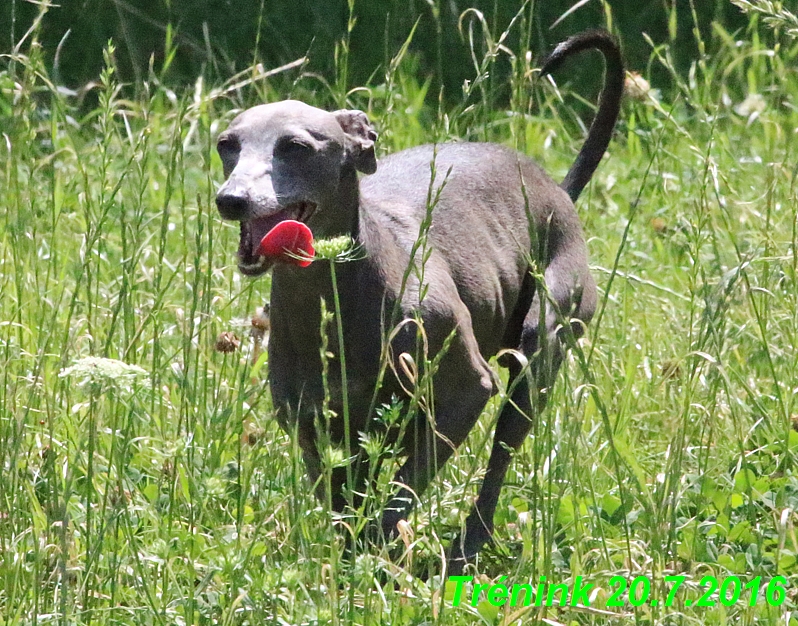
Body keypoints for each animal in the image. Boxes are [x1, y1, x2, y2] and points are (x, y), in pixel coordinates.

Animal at [217, 30, 624, 572]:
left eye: (297, 146)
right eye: (226, 144)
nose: (231, 200)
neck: (336, 293)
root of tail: (554, 188)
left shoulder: (465, 392)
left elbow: (396, 499)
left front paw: (383, 556)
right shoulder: (317, 428)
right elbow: (347, 509)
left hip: (540, 347)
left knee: (500, 457)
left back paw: (467, 547)